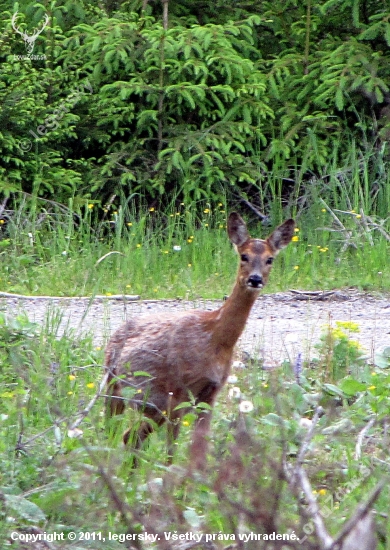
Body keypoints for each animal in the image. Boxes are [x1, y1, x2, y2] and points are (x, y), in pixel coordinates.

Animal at [105, 211, 294, 470]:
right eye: (243, 256)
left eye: (270, 259)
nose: (255, 279)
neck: (215, 339)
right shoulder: (177, 392)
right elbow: (171, 454)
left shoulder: (209, 394)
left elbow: (199, 454)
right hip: (115, 389)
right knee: (113, 432)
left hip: (150, 405)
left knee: (131, 436)